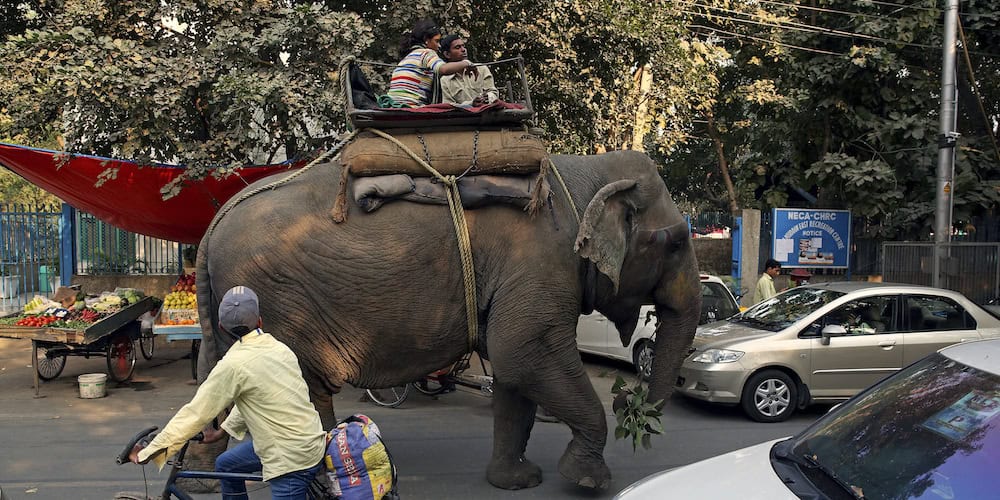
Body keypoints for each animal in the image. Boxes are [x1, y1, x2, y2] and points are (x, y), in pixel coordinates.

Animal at [194, 149, 701, 491]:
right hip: (278, 301)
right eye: (677, 242)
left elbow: (514, 372)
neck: (586, 171)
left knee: (215, 376)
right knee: (305, 385)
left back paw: (205, 478)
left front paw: (517, 481)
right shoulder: (541, 265)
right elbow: (525, 352)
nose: (631, 402)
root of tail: (214, 222)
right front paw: (588, 481)